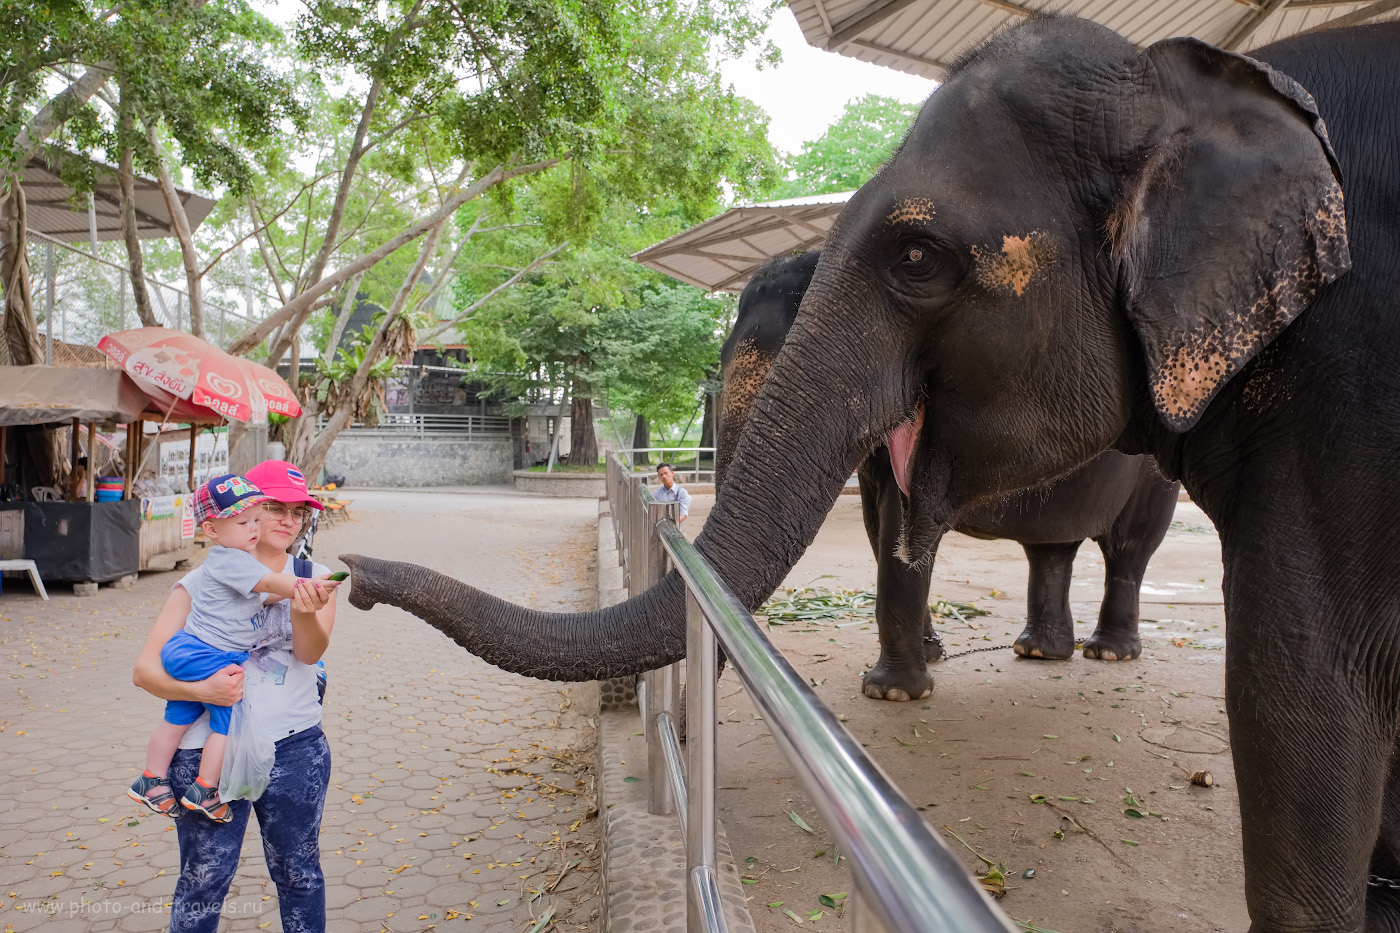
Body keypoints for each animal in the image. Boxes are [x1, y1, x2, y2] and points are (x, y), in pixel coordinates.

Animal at [347, 16, 1400, 930]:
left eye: (917, 257)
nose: (349, 577)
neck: (1195, 86)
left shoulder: (1353, 375)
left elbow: (1303, 670)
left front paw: (894, 692)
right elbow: (890, 517)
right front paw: (909, 675)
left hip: (1153, 487)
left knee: (1131, 549)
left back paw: (1106, 657)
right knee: (1056, 549)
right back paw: (1040, 654)